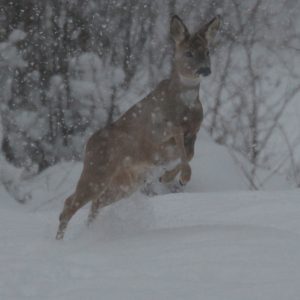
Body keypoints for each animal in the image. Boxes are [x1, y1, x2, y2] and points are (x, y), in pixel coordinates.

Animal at [56, 14, 220, 240]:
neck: (183, 107)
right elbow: (180, 146)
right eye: (188, 52)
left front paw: (167, 176)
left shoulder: (194, 132)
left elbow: (189, 153)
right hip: (97, 171)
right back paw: (60, 241)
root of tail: (88, 144)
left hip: (127, 183)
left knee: (96, 202)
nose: (205, 69)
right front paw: (182, 177)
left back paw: (90, 233)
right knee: (70, 204)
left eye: (207, 51)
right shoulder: (158, 132)